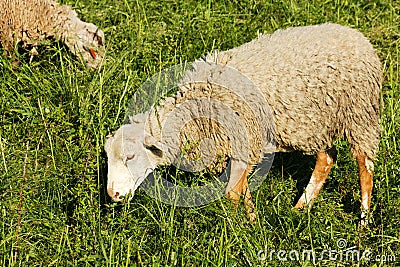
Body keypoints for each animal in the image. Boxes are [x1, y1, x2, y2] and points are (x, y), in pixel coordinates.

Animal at [104, 22, 382, 224]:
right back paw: (301, 206)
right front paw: (249, 221)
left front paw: (241, 226)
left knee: (365, 164)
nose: (112, 194)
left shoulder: (242, 139)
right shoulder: (233, 146)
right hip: (315, 122)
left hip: (360, 113)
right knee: (327, 157)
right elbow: (239, 189)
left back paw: (363, 219)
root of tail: (355, 35)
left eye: (130, 156)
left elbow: (234, 192)